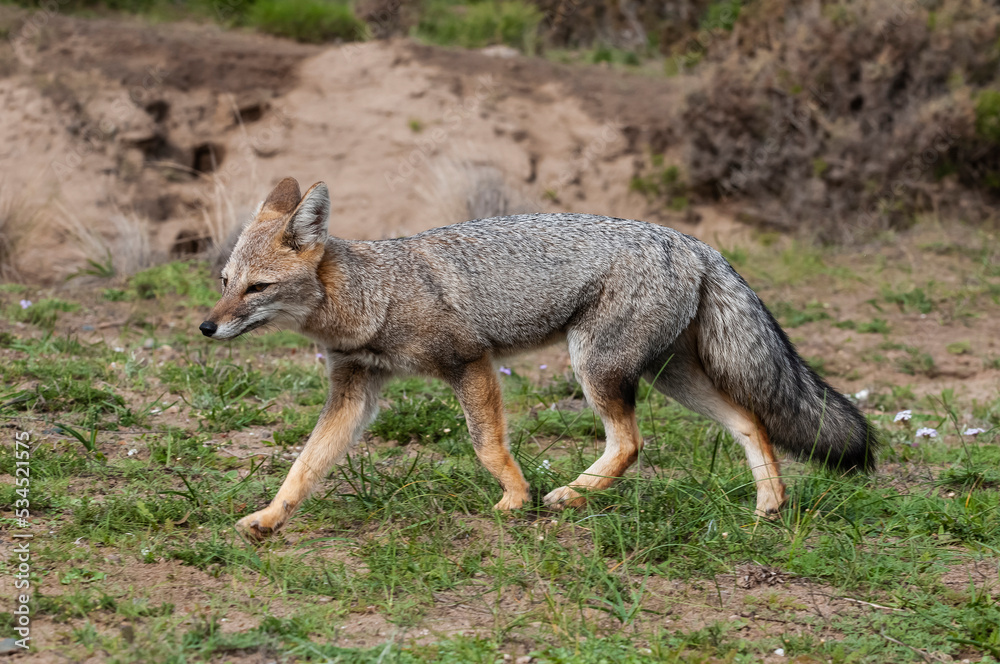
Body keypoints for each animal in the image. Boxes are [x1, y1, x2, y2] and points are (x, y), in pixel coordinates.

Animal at [201, 177, 879, 540]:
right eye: (226, 281)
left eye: (257, 289)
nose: (207, 326)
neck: (376, 293)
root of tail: (693, 240)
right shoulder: (356, 388)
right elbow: (305, 465)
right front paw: (269, 518)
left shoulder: (469, 362)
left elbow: (486, 444)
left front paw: (514, 499)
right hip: (669, 376)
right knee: (750, 420)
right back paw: (769, 507)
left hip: (597, 367)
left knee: (632, 442)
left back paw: (569, 496)